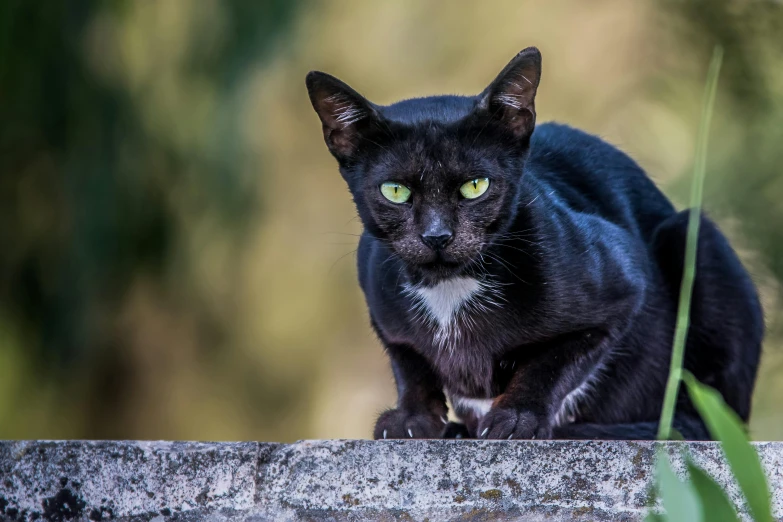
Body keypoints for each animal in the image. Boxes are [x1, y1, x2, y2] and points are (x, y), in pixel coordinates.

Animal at [306, 46, 764, 436]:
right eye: (396, 191)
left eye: (475, 186)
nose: (437, 235)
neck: (449, 290)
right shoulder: (380, 305)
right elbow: (410, 362)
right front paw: (412, 418)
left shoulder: (624, 282)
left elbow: (550, 362)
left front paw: (517, 418)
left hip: (695, 240)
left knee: (705, 418)